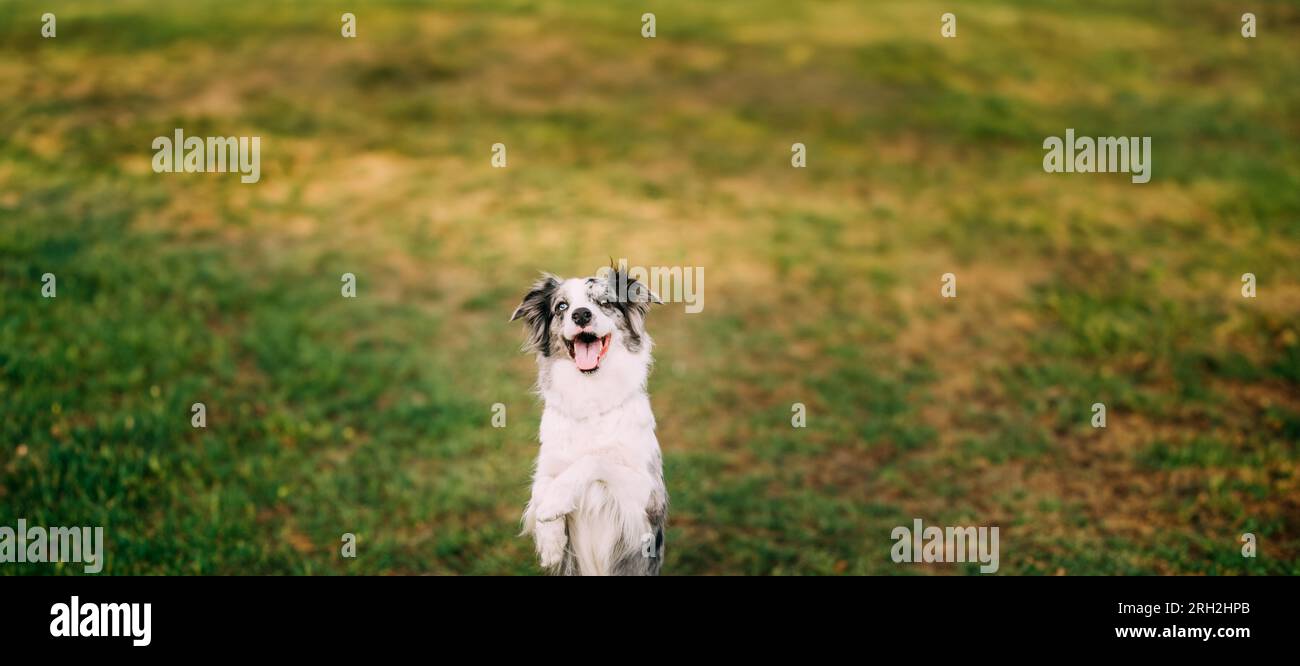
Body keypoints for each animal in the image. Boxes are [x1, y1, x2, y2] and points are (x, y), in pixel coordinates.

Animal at [509, 267, 665, 574]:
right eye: (562, 307)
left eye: (604, 302)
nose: (580, 315)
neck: (589, 396)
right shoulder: (548, 463)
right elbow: (540, 487)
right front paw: (550, 541)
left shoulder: (649, 496)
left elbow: (593, 459)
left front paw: (555, 501)